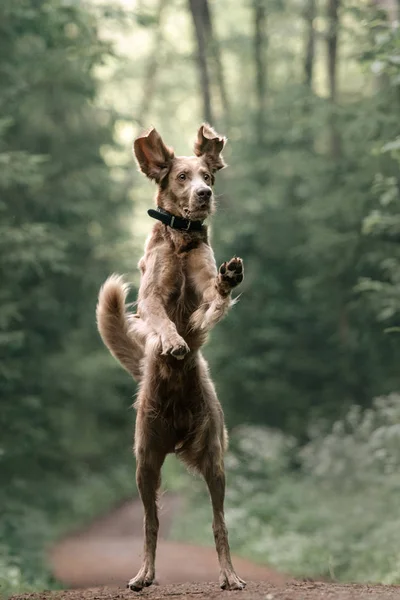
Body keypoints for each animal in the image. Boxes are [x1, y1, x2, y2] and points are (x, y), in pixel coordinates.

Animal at [97, 122, 245, 592]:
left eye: (208, 176)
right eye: (182, 176)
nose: (204, 194)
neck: (180, 240)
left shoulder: (201, 302)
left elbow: (212, 302)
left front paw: (228, 279)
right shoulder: (150, 299)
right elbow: (162, 321)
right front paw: (172, 343)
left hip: (214, 461)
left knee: (219, 524)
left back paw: (229, 575)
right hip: (145, 464)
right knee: (150, 523)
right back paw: (144, 574)